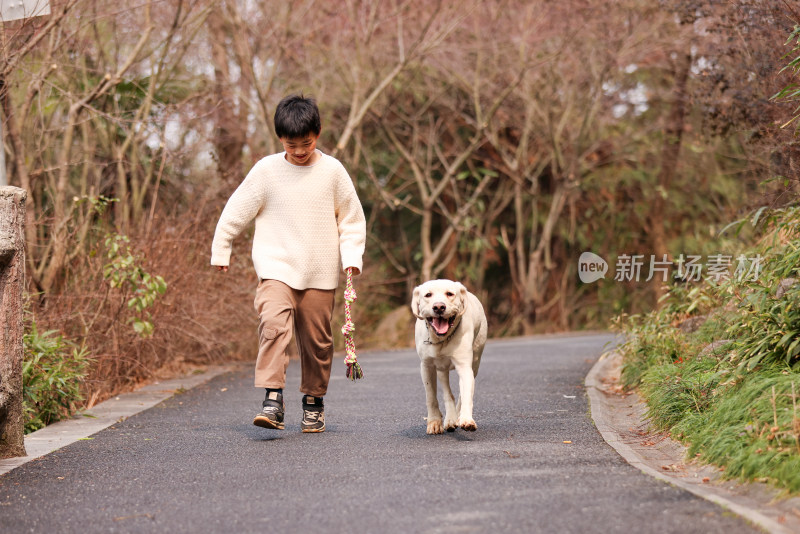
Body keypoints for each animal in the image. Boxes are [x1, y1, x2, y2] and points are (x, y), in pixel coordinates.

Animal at [412, 280, 488, 436]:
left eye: (450, 294)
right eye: (428, 295)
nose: (439, 307)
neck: (442, 339)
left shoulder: (465, 366)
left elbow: (466, 395)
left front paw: (466, 420)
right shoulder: (426, 366)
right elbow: (431, 396)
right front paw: (434, 422)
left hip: (476, 361)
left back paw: (456, 418)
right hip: (441, 368)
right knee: (447, 392)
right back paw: (450, 418)